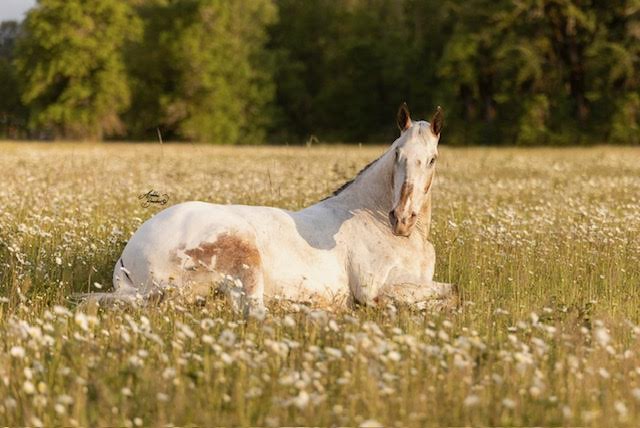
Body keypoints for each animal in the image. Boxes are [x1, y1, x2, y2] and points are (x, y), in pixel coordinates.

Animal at [100, 103, 458, 313]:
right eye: (397, 154)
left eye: (432, 159)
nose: (402, 219)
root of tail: (128, 257)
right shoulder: (372, 288)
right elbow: (448, 292)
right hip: (245, 255)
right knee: (256, 312)